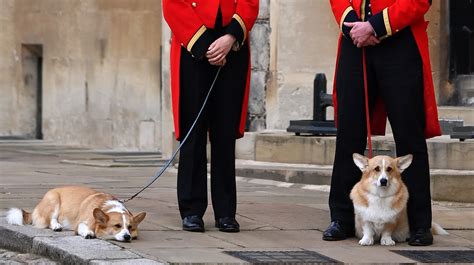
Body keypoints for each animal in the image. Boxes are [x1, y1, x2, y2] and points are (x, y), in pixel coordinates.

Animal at [6, 186, 145, 241]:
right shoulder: (82, 224)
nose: (127, 237)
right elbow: (85, 229)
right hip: (54, 200)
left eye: (130, 227)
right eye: (117, 226)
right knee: (51, 220)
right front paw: (89, 233)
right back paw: (57, 226)